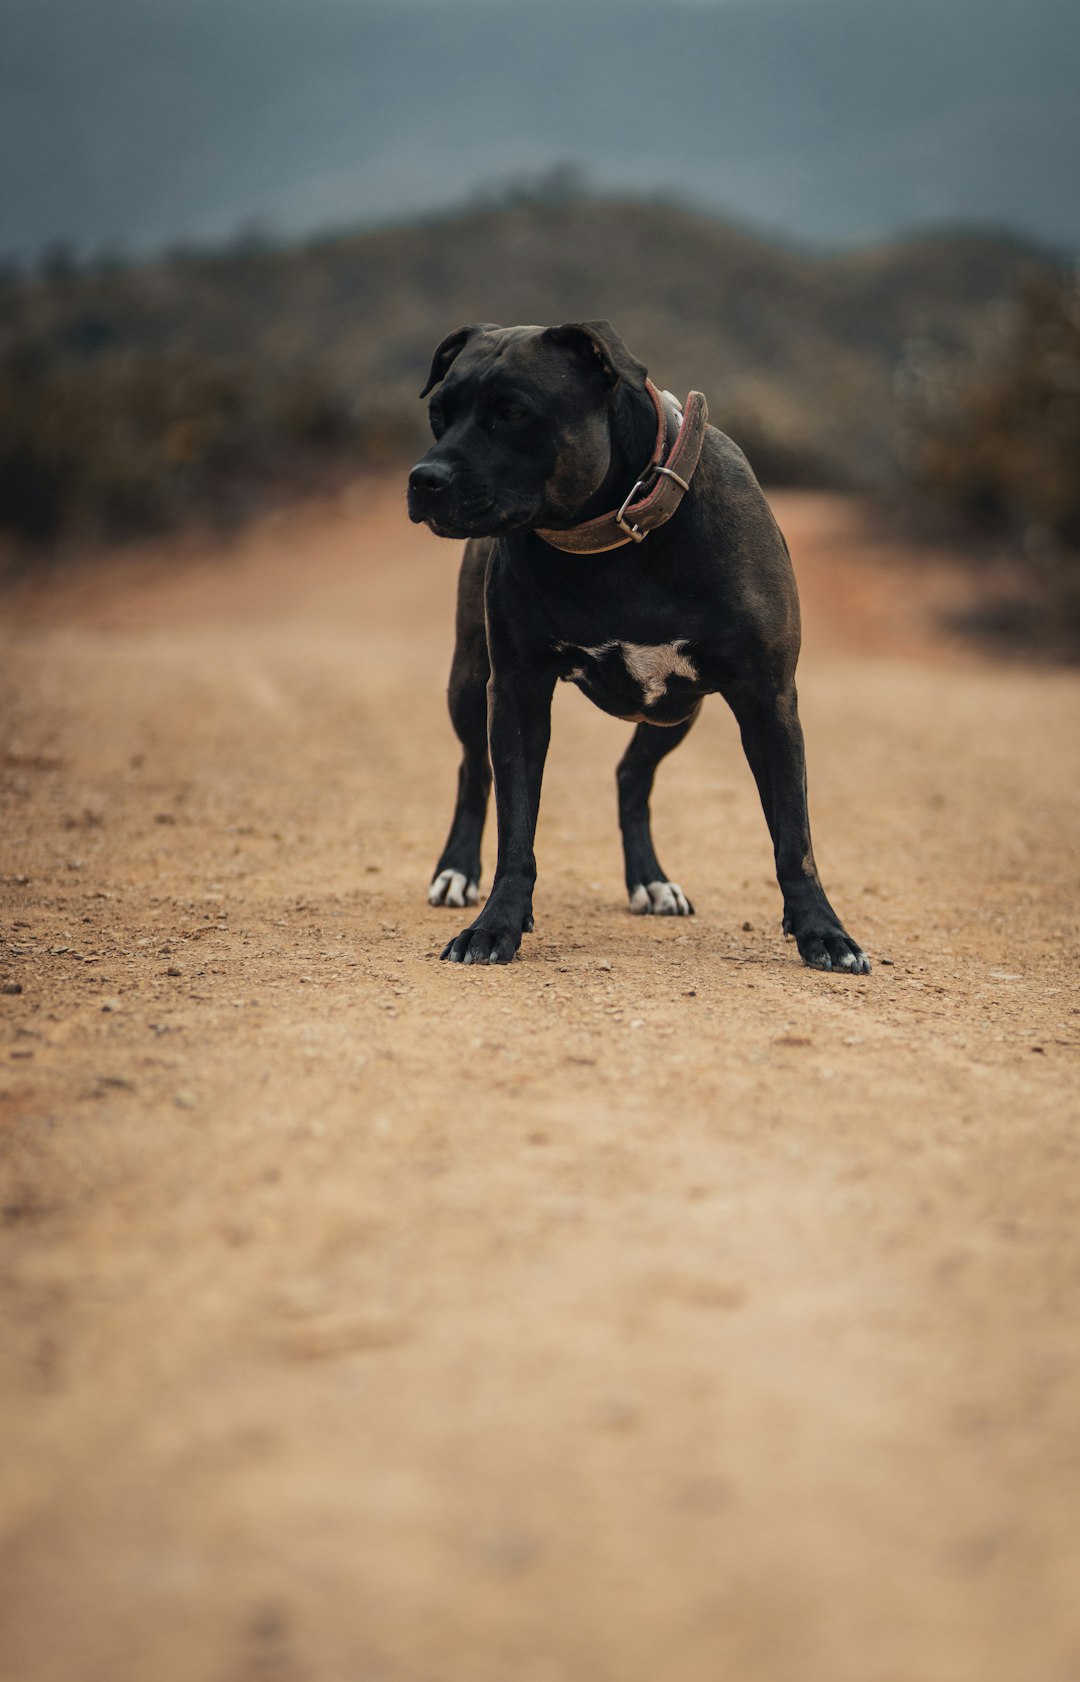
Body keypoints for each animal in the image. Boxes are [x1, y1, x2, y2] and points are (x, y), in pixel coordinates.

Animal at [403, 317, 868, 975]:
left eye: (513, 412)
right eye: (438, 413)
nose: (425, 478)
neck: (613, 537)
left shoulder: (768, 702)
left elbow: (794, 839)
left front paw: (823, 932)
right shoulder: (516, 693)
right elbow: (517, 832)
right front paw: (496, 925)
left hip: (676, 711)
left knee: (631, 775)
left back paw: (650, 881)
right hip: (472, 684)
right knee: (475, 770)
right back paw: (456, 872)